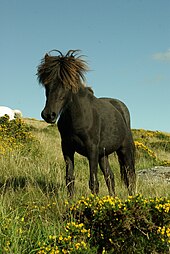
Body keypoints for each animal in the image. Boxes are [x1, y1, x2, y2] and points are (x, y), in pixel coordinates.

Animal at [37, 49, 135, 196]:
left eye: (67, 84)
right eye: (46, 84)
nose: (49, 114)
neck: (78, 117)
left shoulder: (92, 150)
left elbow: (93, 183)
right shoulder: (67, 148)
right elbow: (70, 179)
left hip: (125, 150)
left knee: (130, 177)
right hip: (103, 155)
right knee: (110, 176)